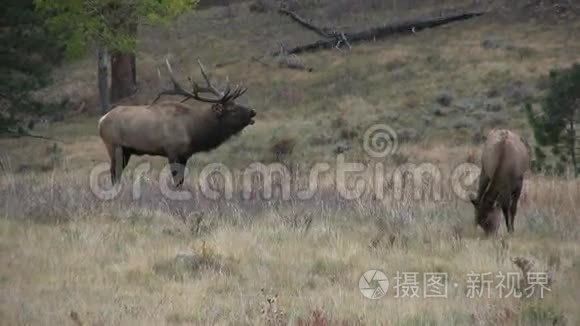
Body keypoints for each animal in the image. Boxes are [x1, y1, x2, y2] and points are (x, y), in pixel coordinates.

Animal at [98, 57, 258, 187]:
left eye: (236, 104)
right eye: (233, 110)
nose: (252, 112)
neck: (194, 131)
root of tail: (101, 120)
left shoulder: (185, 155)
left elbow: (181, 181)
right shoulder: (172, 150)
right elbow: (177, 181)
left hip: (126, 150)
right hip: (114, 145)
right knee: (113, 172)